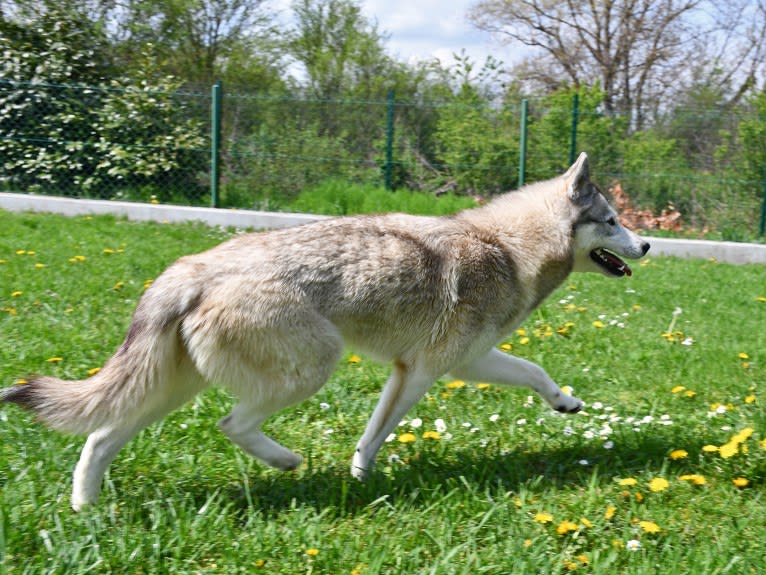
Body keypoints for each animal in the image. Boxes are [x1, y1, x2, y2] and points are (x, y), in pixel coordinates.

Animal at [0, 153, 652, 508]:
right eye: (612, 221)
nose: (646, 245)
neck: (509, 248)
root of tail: (189, 269)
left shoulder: (457, 364)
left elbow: (534, 372)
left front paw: (565, 403)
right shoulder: (428, 371)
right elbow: (378, 434)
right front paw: (361, 479)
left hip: (170, 390)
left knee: (98, 438)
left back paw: (86, 509)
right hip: (311, 368)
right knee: (232, 425)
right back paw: (285, 462)